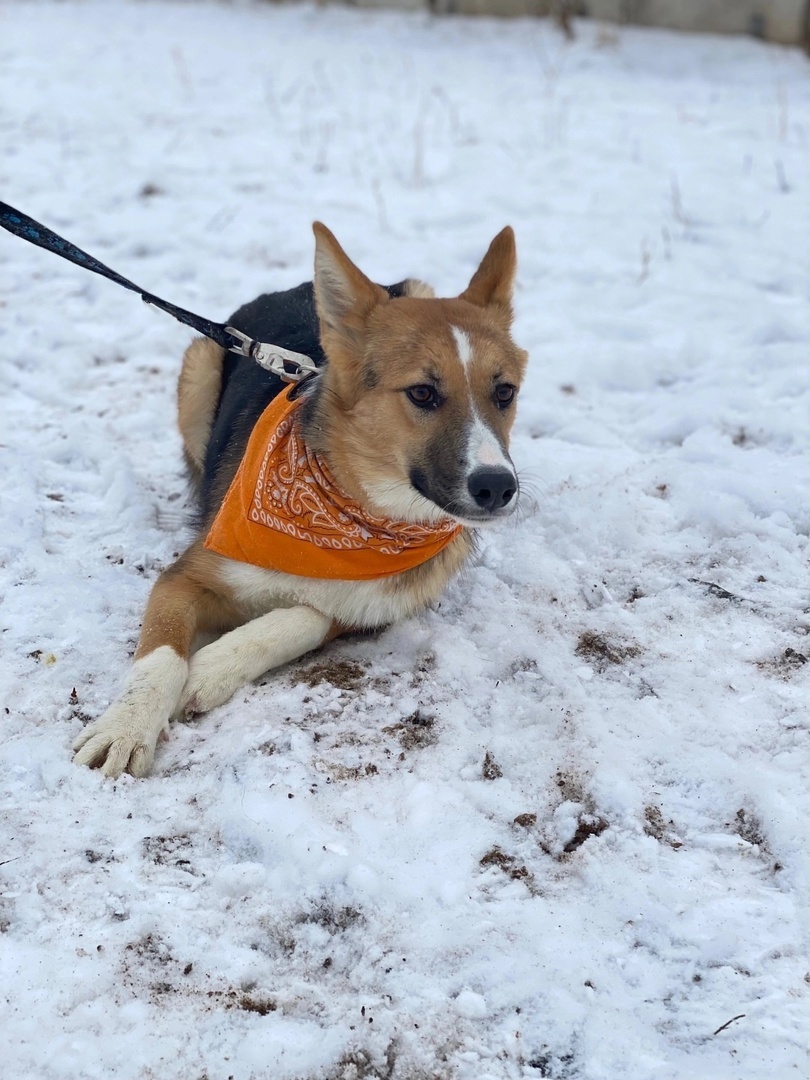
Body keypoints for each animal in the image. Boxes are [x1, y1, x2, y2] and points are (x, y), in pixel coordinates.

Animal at [72, 223, 529, 777]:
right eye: (422, 393)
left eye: (504, 392)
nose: (497, 486)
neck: (350, 518)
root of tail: (289, 289)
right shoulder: (184, 577)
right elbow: (159, 656)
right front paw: (127, 724)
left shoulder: (362, 607)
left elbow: (303, 616)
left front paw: (211, 667)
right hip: (198, 367)